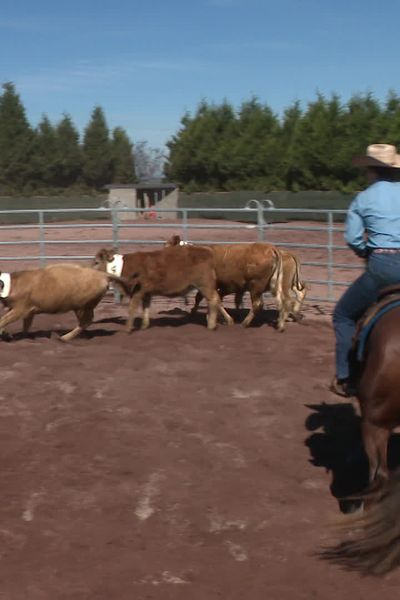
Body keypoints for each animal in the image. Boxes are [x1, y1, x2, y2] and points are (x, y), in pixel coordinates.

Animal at [0, 264, 131, 342]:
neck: (12, 284)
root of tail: (103, 275)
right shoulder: (27, 311)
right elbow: (25, 325)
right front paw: (16, 336)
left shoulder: (21, 309)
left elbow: (3, 320)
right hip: (83, 307)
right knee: (85, 322)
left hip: (81, 306)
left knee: (85, 322)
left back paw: (64, 338)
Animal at [92, 247, 225, 336]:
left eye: (97, 262)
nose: (89, 270)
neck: (123, 267)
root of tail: (207, 251)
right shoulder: (146, 293)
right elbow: (145, 307)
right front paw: (144, 325)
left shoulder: (138, 291)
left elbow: (132, 308)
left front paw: (128, 328)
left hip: (204, 285)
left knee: (214, 299)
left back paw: (211, 325)